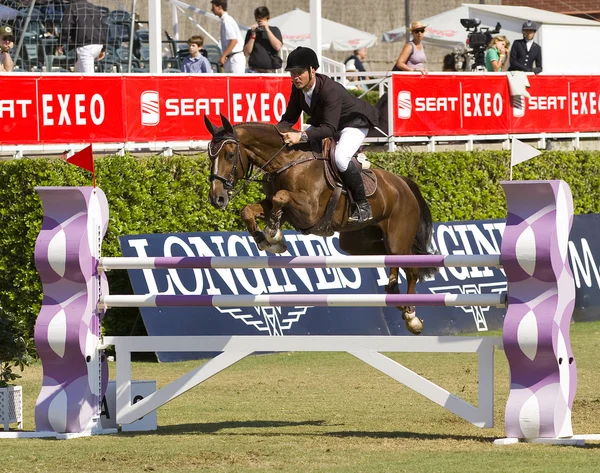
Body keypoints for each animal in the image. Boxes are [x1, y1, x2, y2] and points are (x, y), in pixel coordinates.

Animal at [203, 115, 436, 334]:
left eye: (230, 155)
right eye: (210, 156)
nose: (217, 199)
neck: (287, 161)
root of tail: (403, 183)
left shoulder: (309, 211)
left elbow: (281, 196)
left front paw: (273, 233)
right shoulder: (279, 208)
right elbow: (249, 210)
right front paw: (266, 240)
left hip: (398, 238)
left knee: (411, 269)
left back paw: (412, 317)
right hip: (358, 244)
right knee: (388, 258)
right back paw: (394, 292)